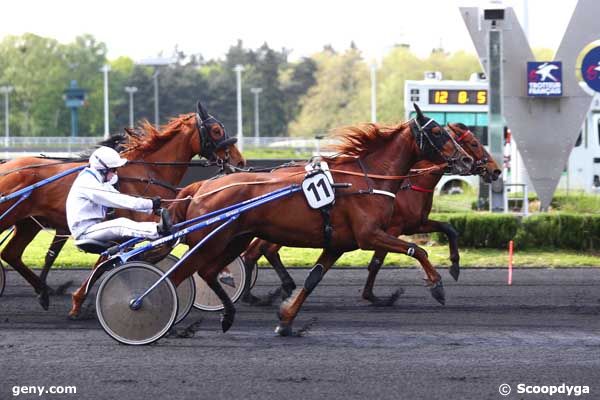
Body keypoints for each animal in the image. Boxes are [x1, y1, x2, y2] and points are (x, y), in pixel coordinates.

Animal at [0, 102, 245, 310]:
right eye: (216, 130)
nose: (240, 161)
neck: (147, 171)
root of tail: (8, 166)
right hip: (10, 216)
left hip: (28, 223)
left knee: (11, 254)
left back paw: (43, 292)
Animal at [168, 108, 474, 336]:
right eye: (437, 132)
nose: (466, 159)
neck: (369, 179)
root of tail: (200, 187)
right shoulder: (370, 235)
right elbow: (417, 250)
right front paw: (436, 286)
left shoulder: (338, 244)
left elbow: (313, 278)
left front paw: (286, 321)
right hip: (213, 242)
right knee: (182, 273)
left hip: (234, 240)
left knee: (209, 272)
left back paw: (229, 315)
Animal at [241, 122, 500, 306]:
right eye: (474, 143)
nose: (495, 170)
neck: (404, 182)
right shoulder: (390, 229)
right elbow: (378, 262)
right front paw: (373, 295)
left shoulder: (415, 224)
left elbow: (449, 228)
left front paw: (455, 266)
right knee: (258, 251)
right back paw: (255, 293)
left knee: (262, 250)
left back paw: (272, 290)